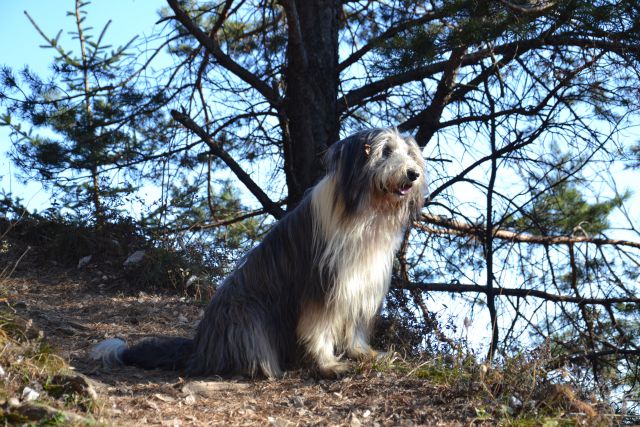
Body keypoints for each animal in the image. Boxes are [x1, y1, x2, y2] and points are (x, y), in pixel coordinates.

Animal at [91, 127, 424, 378]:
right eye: (385, 151)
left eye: (409, 153)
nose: (413, 174)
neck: (365, 211)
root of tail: (198, 347)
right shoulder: (321, 284)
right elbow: (318, 327)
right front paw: (329, 365)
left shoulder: (360, 281)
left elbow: (353, 324)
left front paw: (364, 353)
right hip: (247, 311)